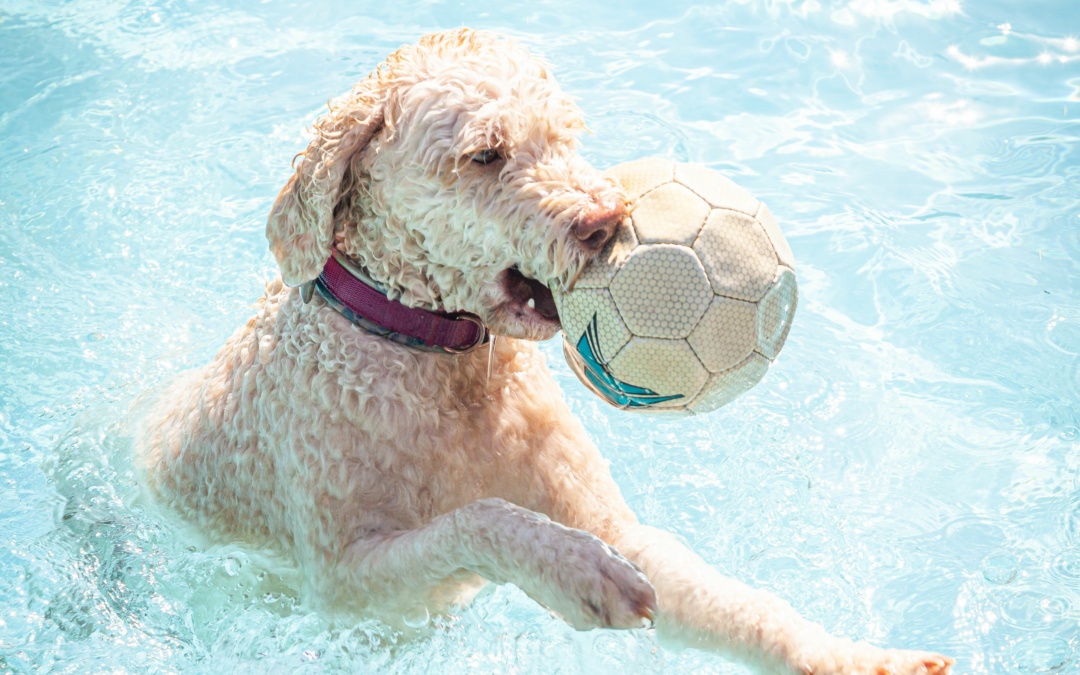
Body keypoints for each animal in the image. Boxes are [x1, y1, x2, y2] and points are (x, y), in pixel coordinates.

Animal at [137, 28, 954, 669]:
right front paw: (575, 571)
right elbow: (482, 517)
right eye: (485, 154)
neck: (432, 361)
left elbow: (730, 603)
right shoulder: (347, 588)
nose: (607, 222)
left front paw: (856, 657)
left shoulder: (615, 525)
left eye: (563, 135)